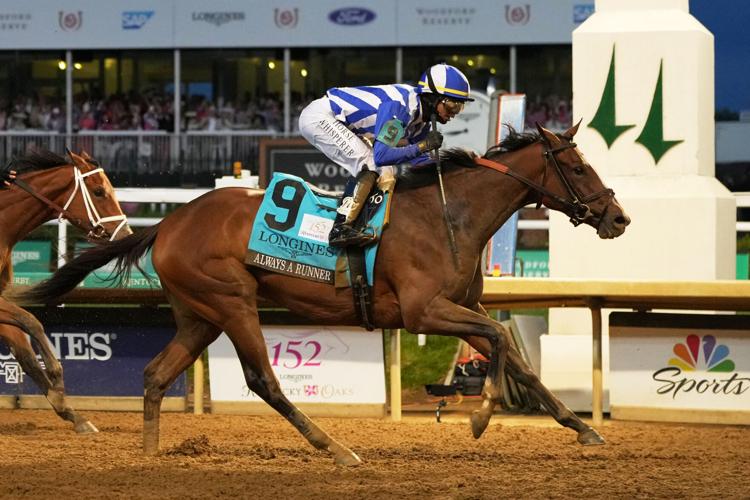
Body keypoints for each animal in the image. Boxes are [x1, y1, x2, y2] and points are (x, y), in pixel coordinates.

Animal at [1, 148, 131, 432]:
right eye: (98, 191)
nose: (126, 234)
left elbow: (26, 355)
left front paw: (72, 413)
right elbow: (32, 321)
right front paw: (57, 378)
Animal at [18, 123, 630, 463]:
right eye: (578, 167)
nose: (618, 217)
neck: (449, 214)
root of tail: (168, 223)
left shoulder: (464, 304)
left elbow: (517, 357)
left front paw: (583, 431)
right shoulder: (424, 311)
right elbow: (501, 339)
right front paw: (481, 417)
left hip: (199, 315)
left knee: (154, 374)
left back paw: (148, 457)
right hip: (231, 302)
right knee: (263, 380)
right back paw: (335, 448)